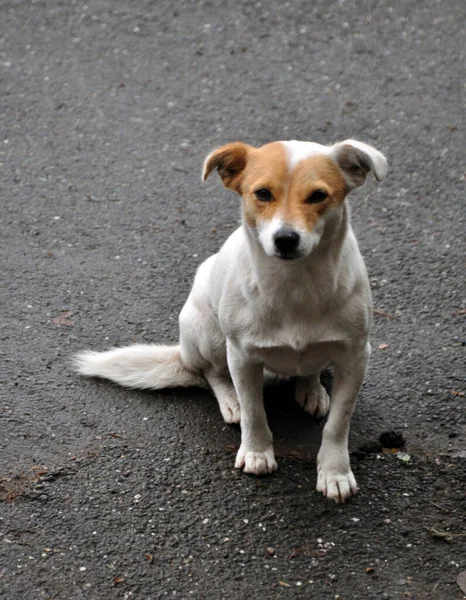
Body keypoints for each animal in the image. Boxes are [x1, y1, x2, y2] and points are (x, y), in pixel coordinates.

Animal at [74, 139, 388, 502]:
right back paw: (231, 400)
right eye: (262, 193)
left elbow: (339, 423)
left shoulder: (356, 357)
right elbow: (254, 413)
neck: (295, 285)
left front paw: (335, 472)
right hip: (206, 332)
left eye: (318, 195)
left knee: (308, 367)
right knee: (211, 374)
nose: (285, 239)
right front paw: (256, 452)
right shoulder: (242, 355)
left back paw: (310, 388)